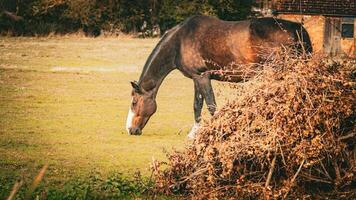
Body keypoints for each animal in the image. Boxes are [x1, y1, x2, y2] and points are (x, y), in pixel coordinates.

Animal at [125, 15, 312, 138]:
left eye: (134, 102)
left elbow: (211, 106)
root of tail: (297, 28)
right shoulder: (197, 78)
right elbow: (197, 105)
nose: (130, 130)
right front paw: (194, 133)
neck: (180, 41)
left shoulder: (202, 77)